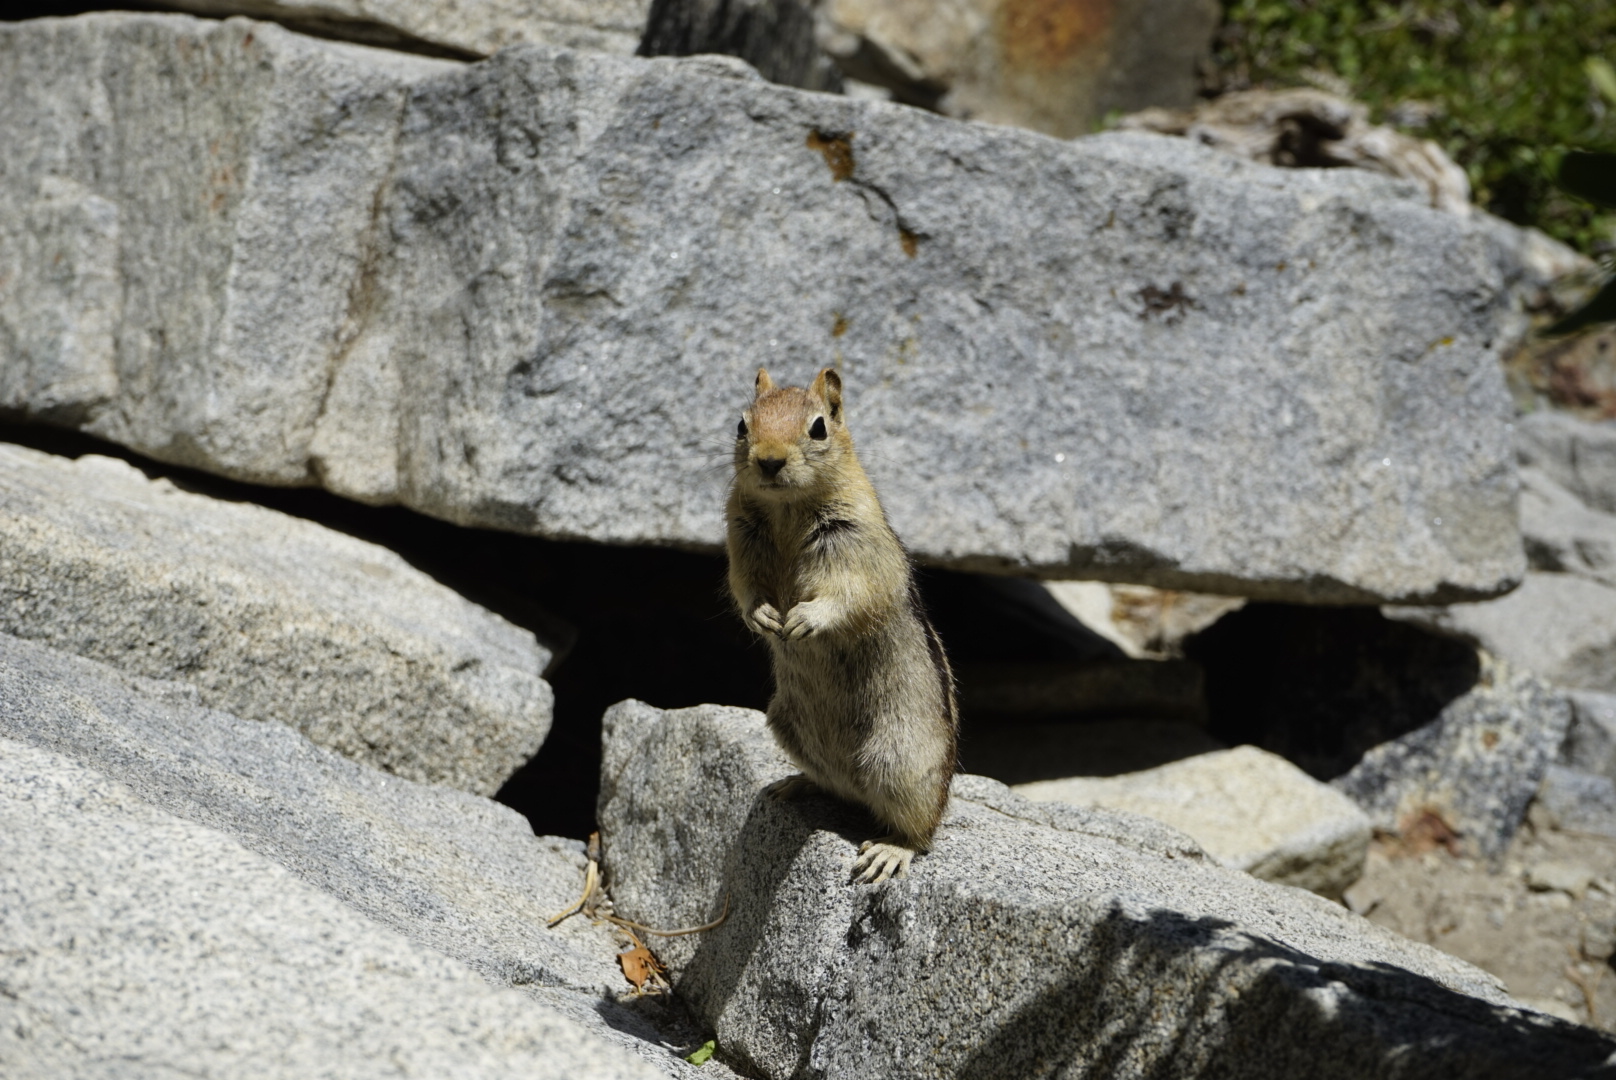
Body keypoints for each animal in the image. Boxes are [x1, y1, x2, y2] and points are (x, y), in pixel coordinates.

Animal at [726, 366, 958, 883]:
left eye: (818, 428)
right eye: (741, 424)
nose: (769, 461)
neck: (787, 509)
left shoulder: (856, 543)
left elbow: (851, 595)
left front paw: (805, 619)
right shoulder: (739, 538)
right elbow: (744, 588)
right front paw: (763, 617)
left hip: (898, 759)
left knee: (922, 829)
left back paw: (891, 850)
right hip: (786, 723)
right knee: (833, 785)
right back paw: (795, 785)